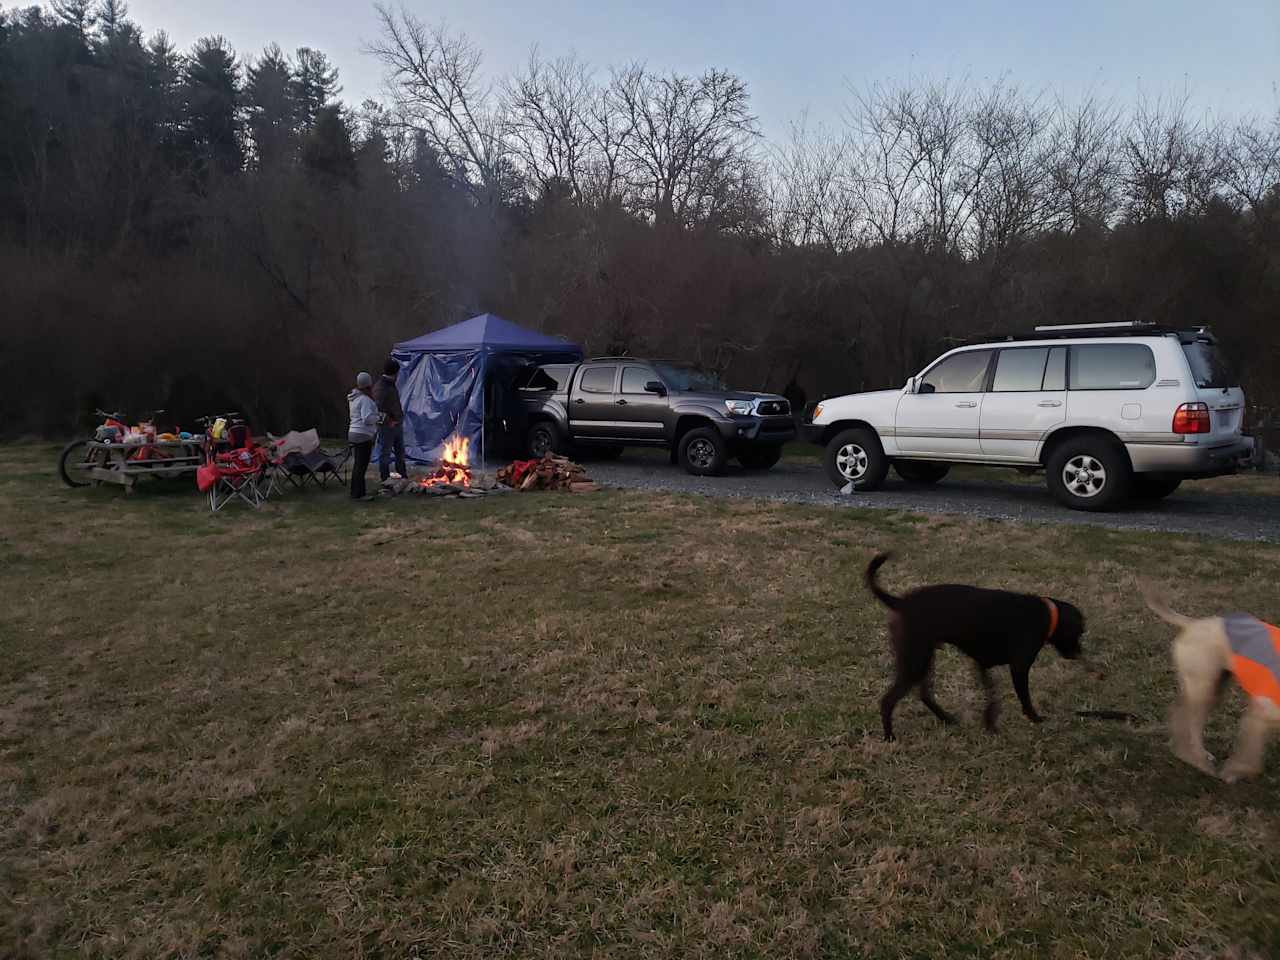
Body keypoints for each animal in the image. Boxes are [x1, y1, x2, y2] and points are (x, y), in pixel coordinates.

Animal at [1141, 583, 1280, 783]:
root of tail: (1193, 624)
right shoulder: (1257, 716)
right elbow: (1250, 761)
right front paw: (1231, 773)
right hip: (1204, 689)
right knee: (1191, 725)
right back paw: (1198, 759)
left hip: (1211, 686)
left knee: (1179, 714)